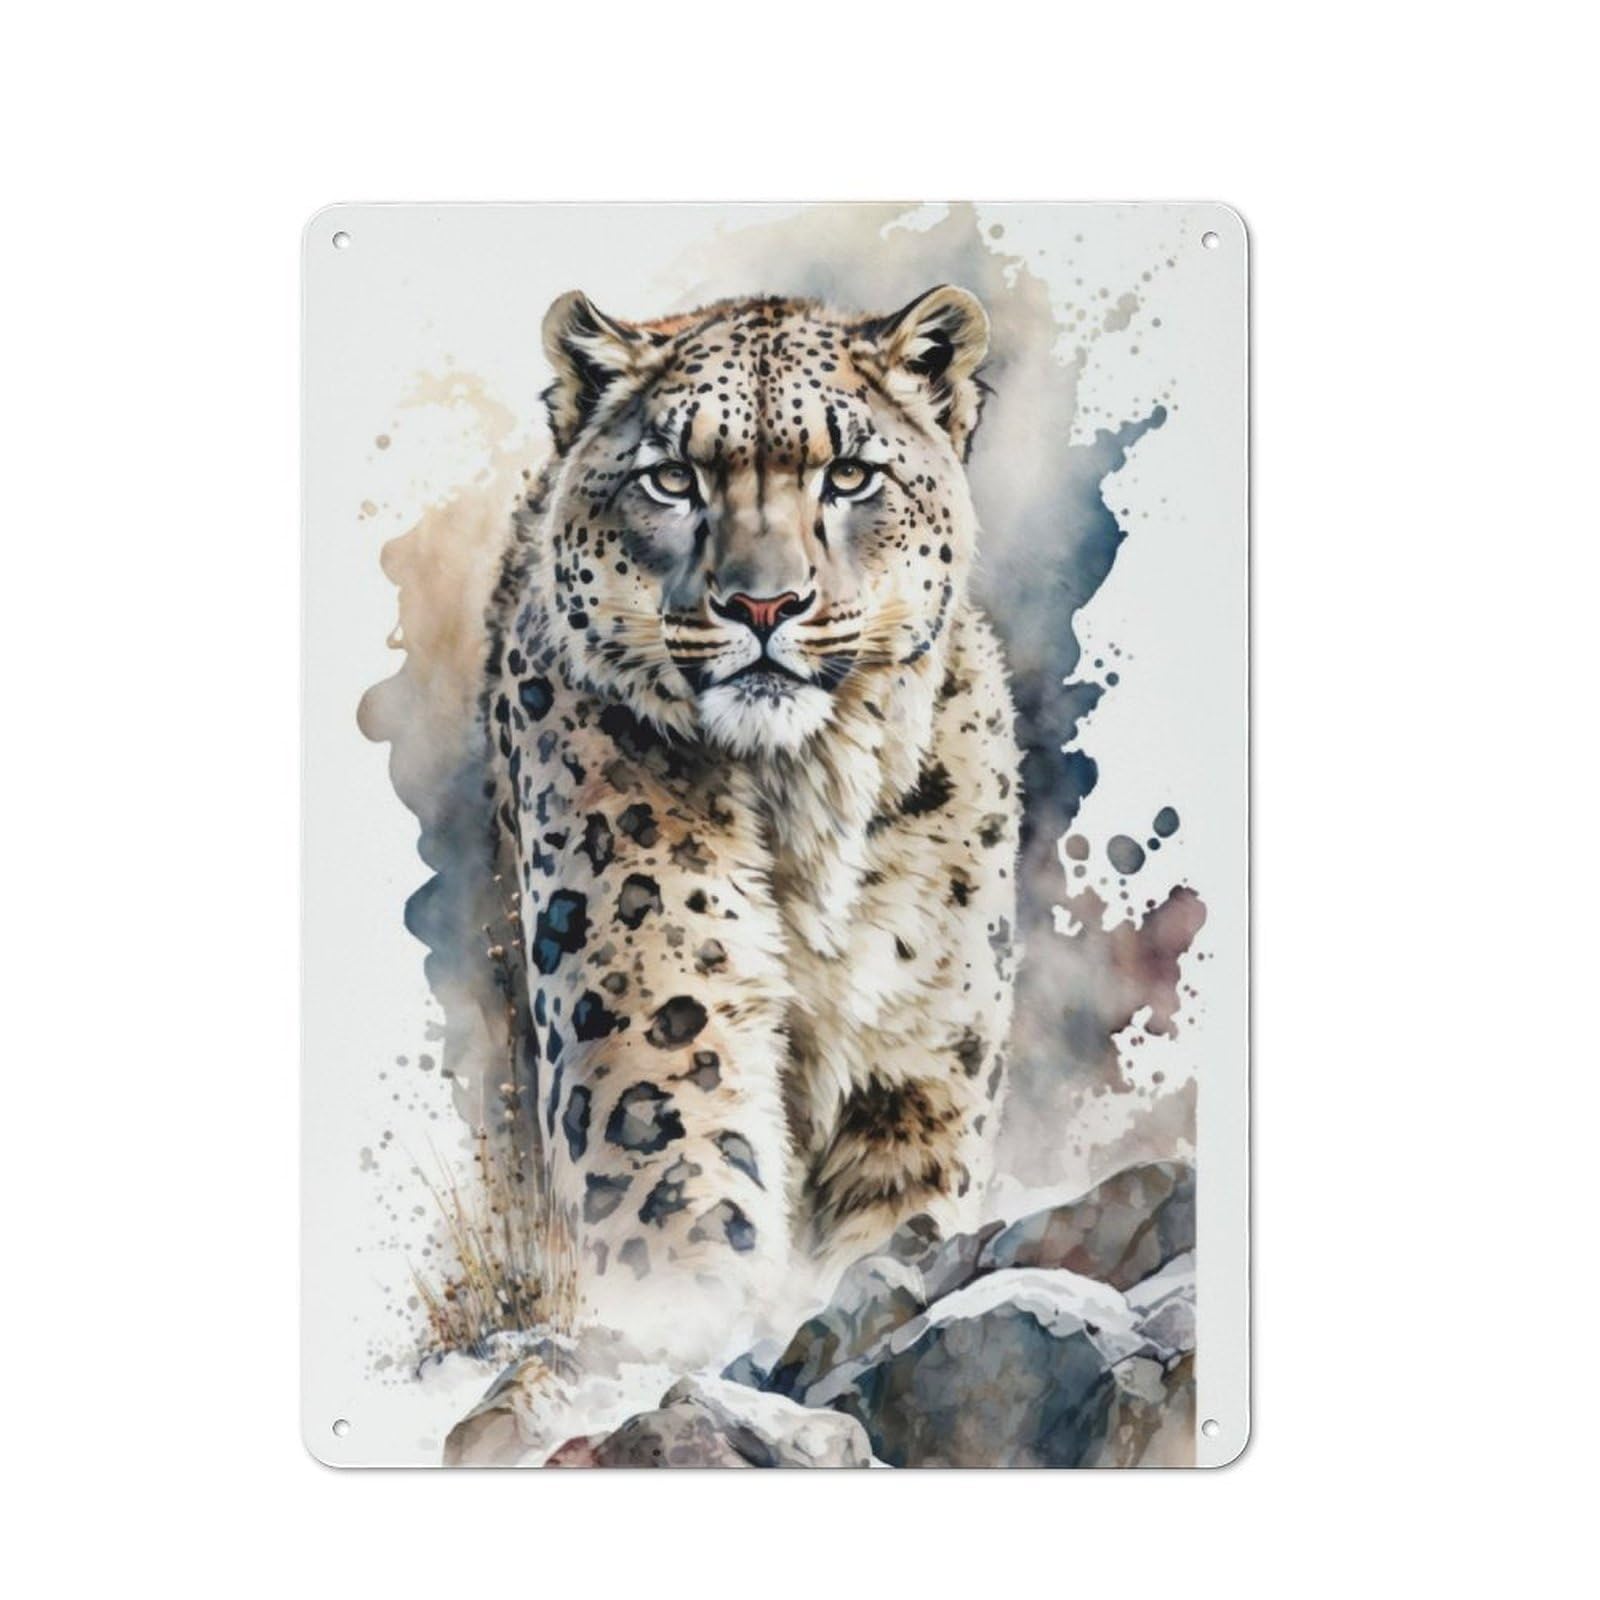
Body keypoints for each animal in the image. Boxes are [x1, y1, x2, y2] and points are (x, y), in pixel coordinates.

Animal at [448, 285, 1021, 1462]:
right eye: (674, 476)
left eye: (848, 475)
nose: (765, 605)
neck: (811, 806)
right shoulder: (660, 1027)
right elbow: (686, 1212)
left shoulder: (919, 1070)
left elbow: (898, 1233)